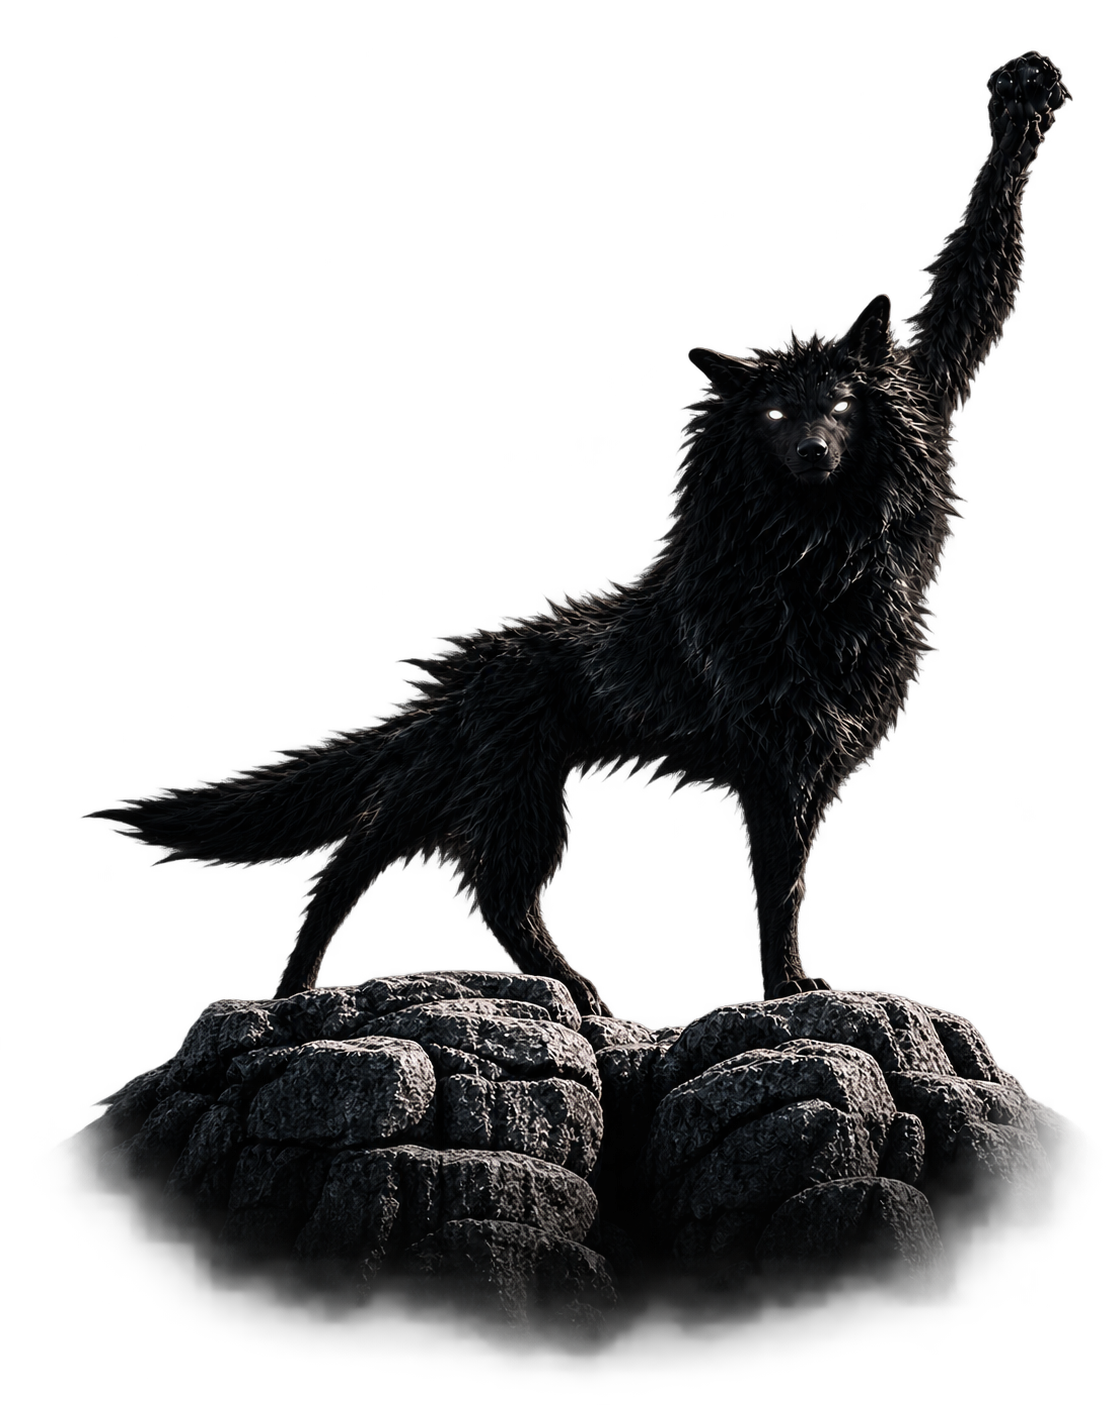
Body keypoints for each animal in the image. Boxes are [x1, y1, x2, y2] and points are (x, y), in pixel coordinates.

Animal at [89, 52, 1071, 1017]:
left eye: (837, 406)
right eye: (773, 415)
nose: (813, 451)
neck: (818, 555)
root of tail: (463, 671)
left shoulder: (923, 394)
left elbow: (974, 289)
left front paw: (1021, 110)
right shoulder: (775, 757)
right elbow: (778, 881)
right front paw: (786, 986)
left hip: (486, 778)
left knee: (441, 871)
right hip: (508, 785)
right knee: (407, 864)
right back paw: (325, 986)